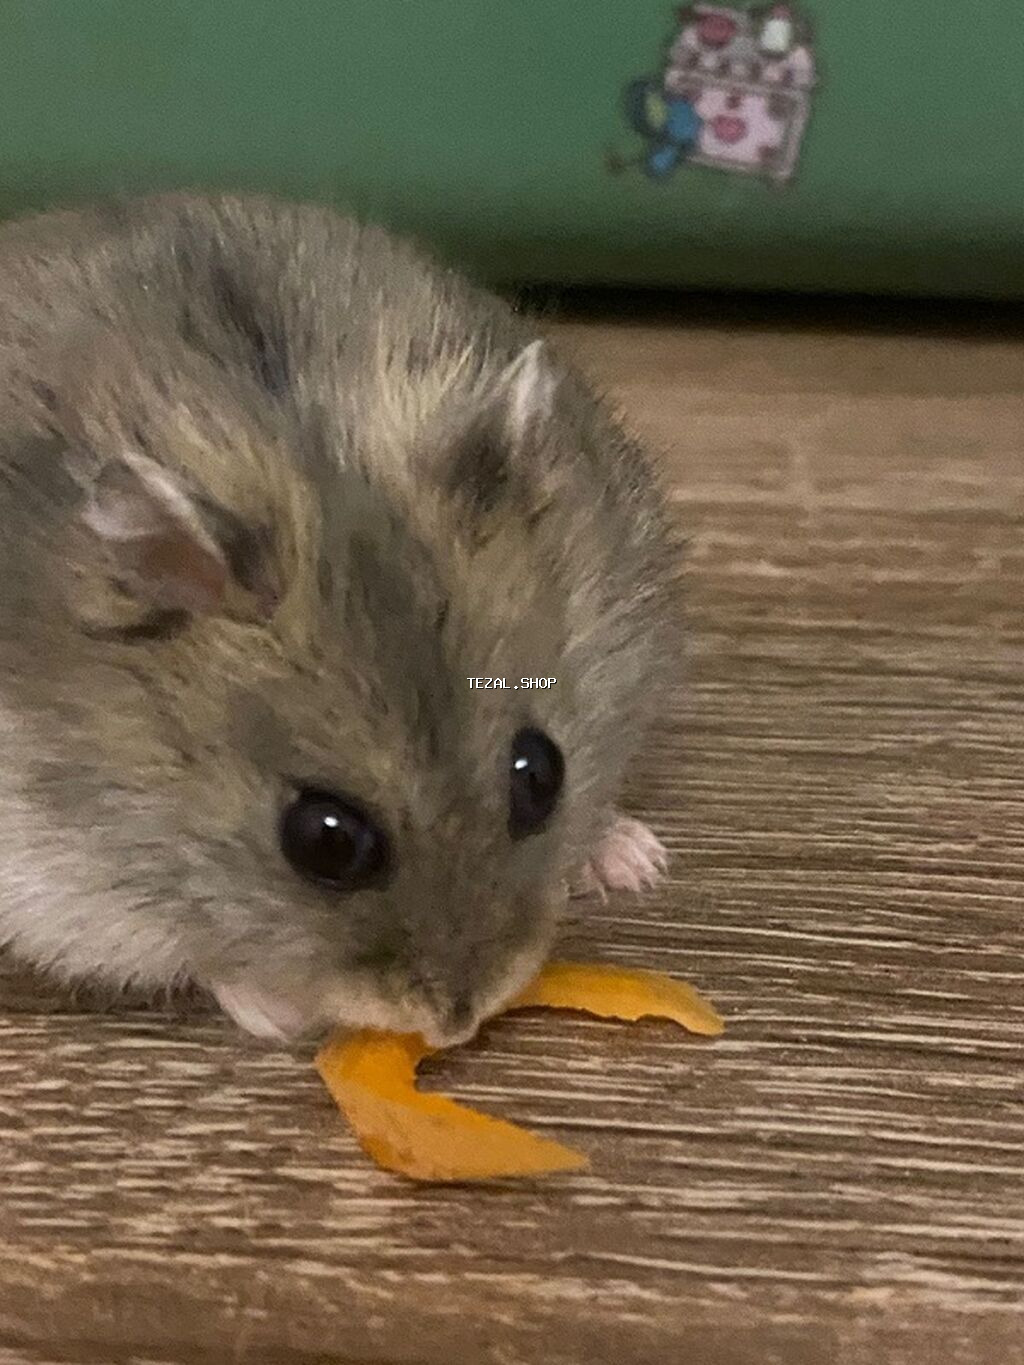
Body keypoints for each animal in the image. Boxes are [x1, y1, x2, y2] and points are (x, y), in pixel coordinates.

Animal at [0, 193, 679, 1046]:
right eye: (325, 841)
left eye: (541, 774)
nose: (458, 1022)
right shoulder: (60, 885)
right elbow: (195, 951)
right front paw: (278, 1015)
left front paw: (636, 858)